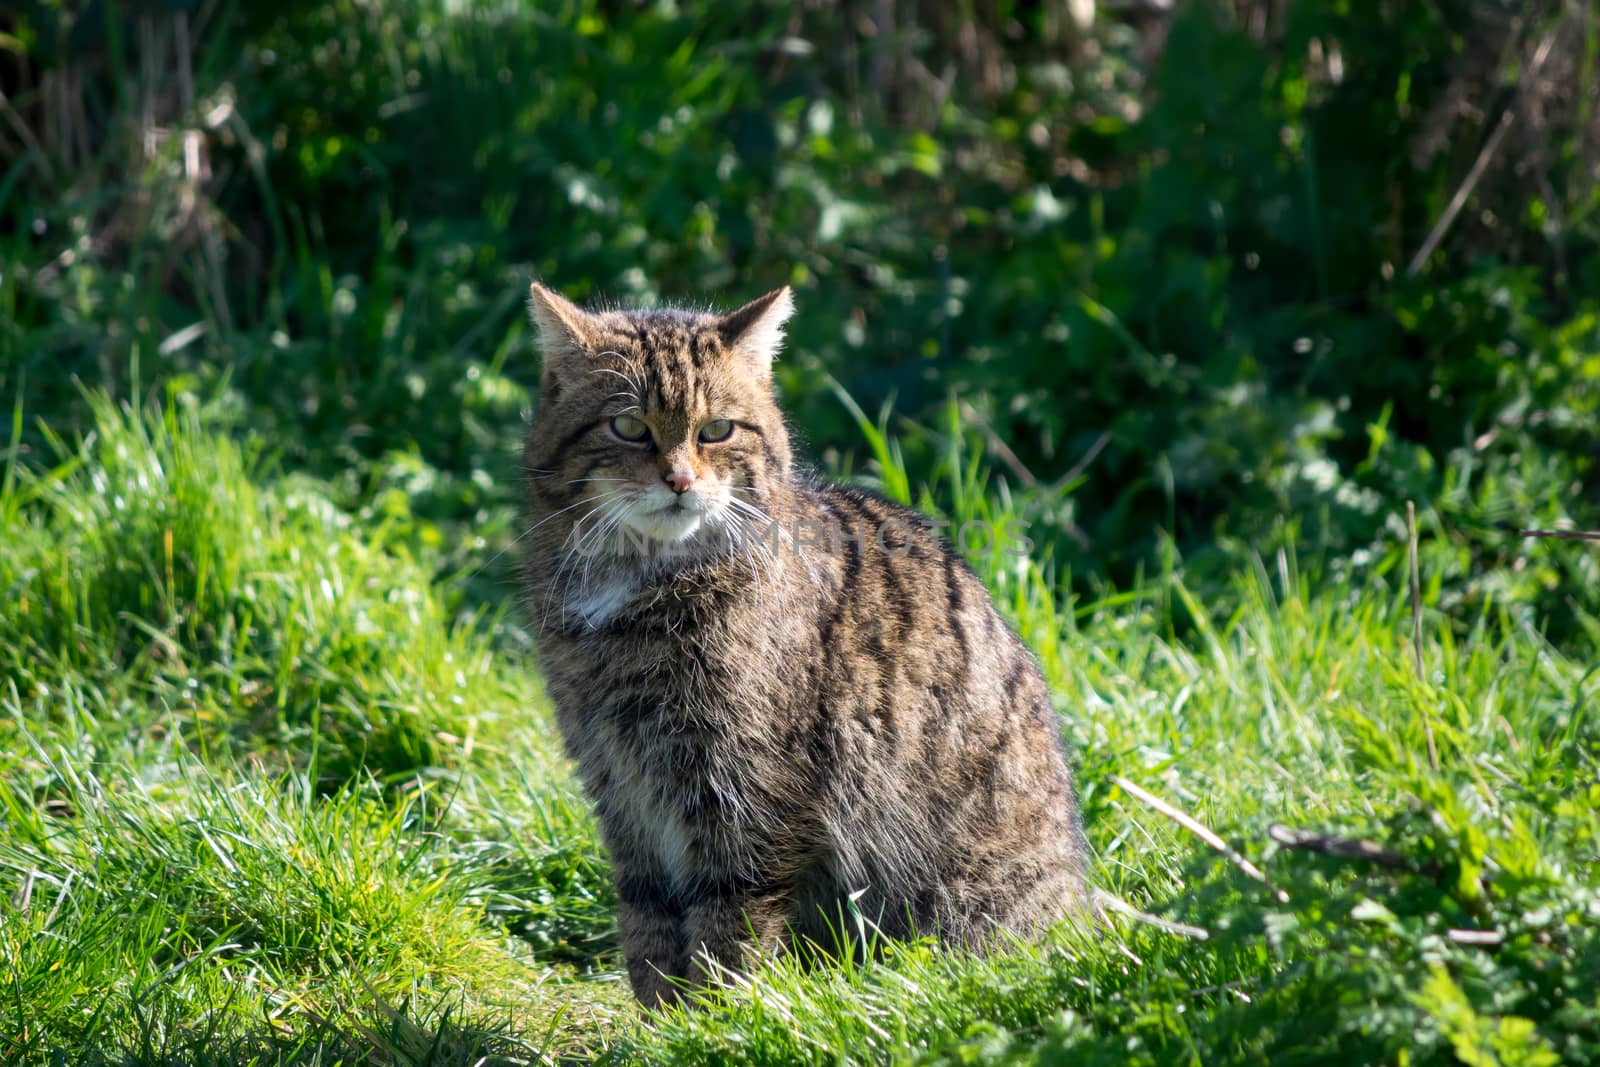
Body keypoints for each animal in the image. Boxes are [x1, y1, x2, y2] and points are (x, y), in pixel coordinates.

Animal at [521, 279, 1088, 1004]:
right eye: (628, 427)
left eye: (717, 430)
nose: (679, 481)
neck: (638, 588)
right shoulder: (619, 785)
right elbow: (647, 919)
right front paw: (662, 1014)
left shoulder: (748, 790)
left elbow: (729, 922)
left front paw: (714, 1015)